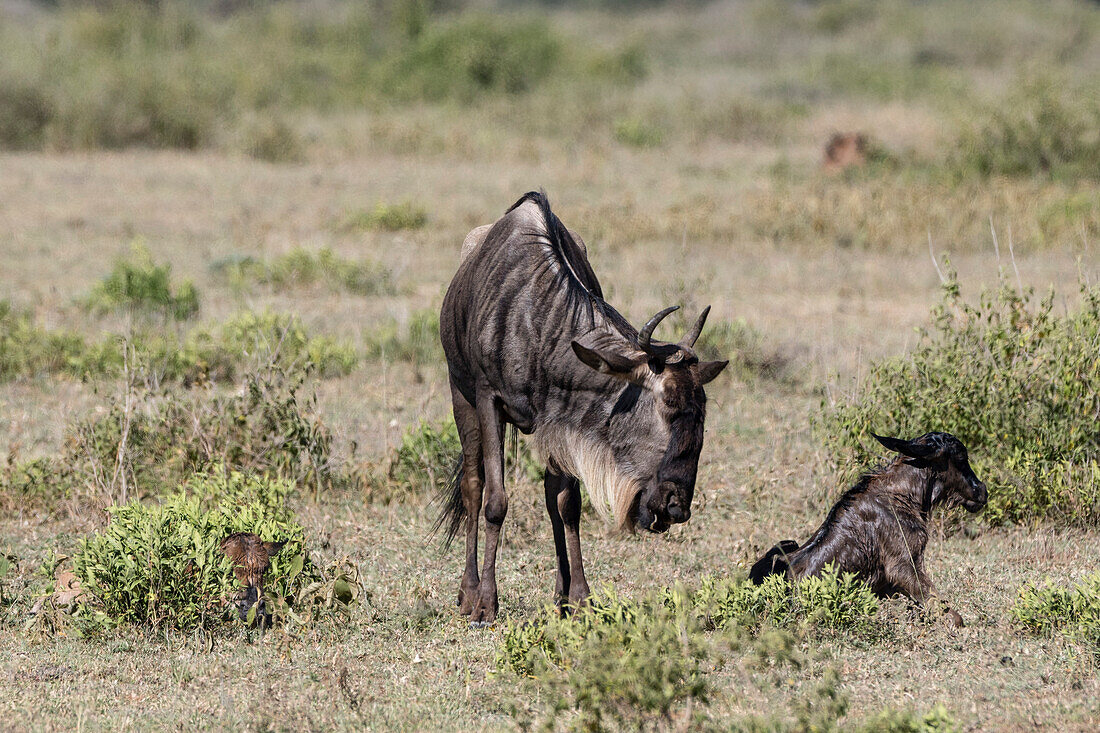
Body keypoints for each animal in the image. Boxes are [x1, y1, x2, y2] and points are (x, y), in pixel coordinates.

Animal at [748, 431, 990, 625]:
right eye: (961, 458)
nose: (982, 491)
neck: (904, 494)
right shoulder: (902, 566)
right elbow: (946, 610)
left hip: (786, 543)